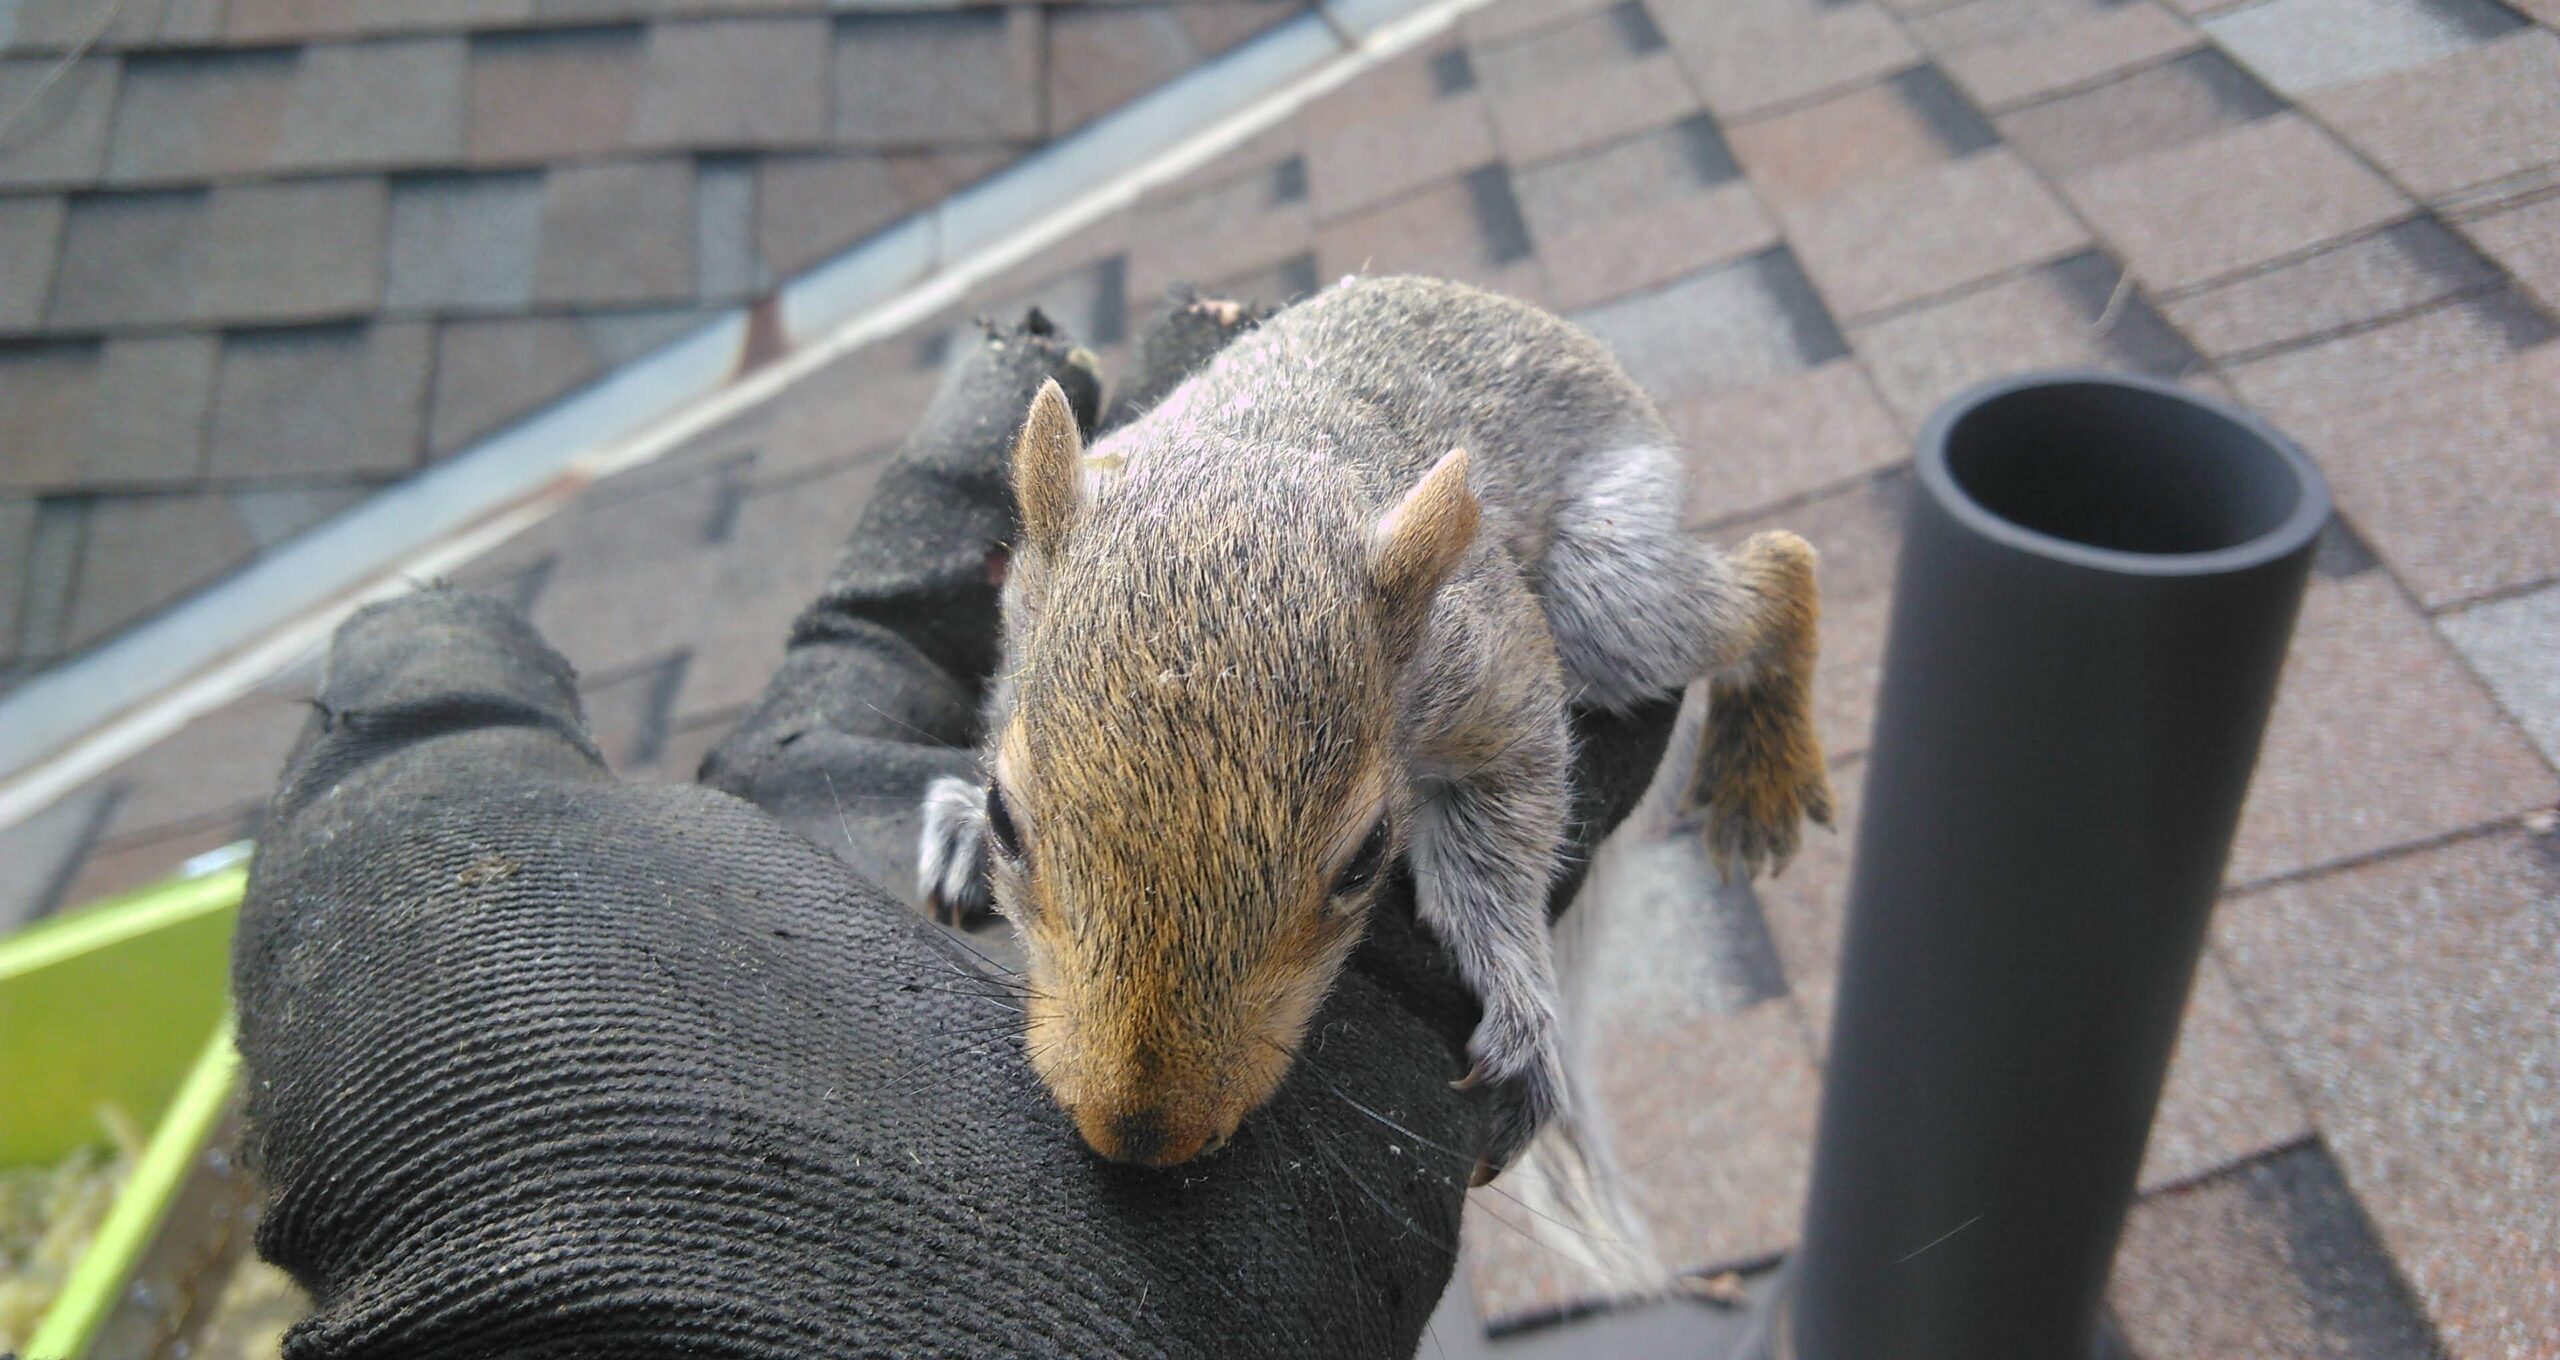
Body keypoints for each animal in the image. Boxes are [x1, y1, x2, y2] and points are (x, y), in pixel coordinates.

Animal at [918, 276, 1831, 1176]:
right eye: (1005, 816)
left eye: (1368, 857)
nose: (1142, 1139)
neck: (1246, 479)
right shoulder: (1017, 620)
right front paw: (957, 824)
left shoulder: (1486, 673)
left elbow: (1507, 829)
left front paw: (1518, 1003)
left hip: (1609, 587)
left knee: (1775, 571)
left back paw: (1766, 756)